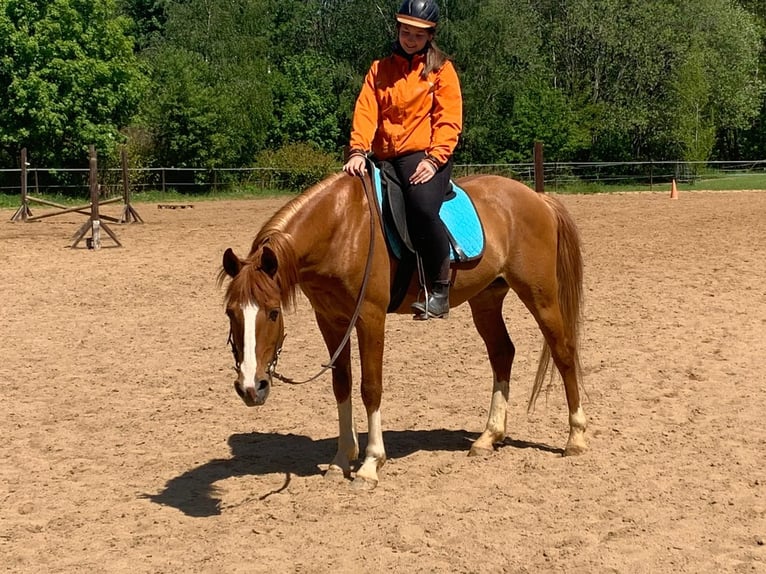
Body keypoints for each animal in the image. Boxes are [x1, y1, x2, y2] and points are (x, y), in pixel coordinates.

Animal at [219, 172, 592, 490]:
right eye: (230, 312)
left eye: (272, 312)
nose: (251, 388)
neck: (341, 229)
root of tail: (538, 198)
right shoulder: (330, 319)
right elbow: (341, 385)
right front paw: (341, 459)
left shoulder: (369, 316)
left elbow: (370, 387)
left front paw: (370, 465)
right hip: (487, 299)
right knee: (502, 353)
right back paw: (489, 437)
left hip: (541, 295)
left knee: (563, 350)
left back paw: (575, 437)